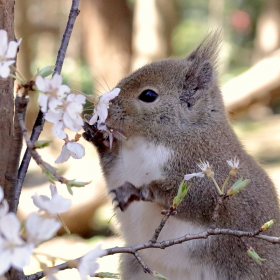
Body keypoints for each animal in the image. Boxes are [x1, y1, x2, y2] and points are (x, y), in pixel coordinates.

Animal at [83, 33, 280, 280]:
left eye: (148, 95)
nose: (105, 108)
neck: (147, 142)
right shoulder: (121, 166)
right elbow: (112, 172)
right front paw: (97, 136)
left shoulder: (212, 173)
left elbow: (195, 197)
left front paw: (140, 189)